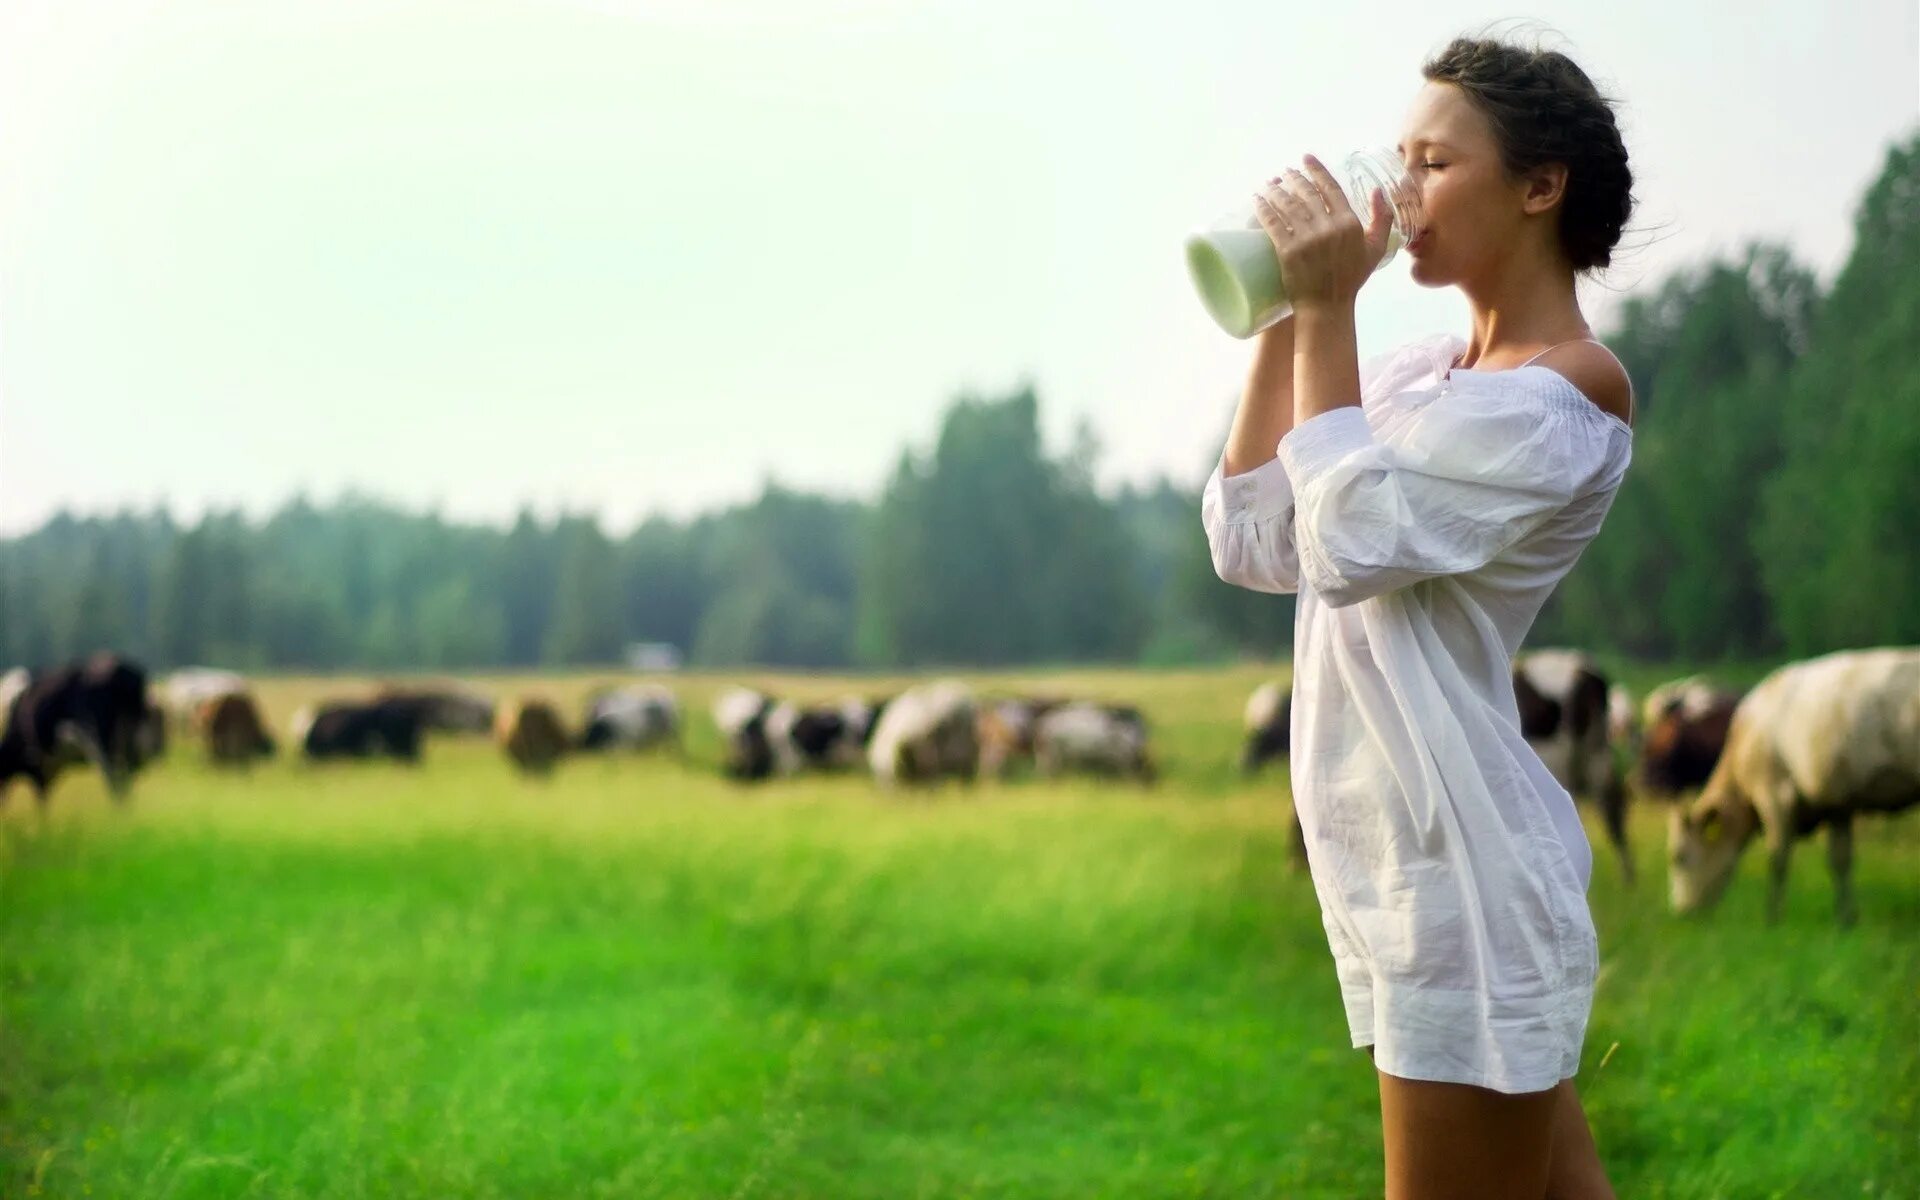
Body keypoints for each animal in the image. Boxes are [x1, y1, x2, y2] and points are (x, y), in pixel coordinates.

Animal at [0, 648, 156, 810]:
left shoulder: (37, 762)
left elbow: (42, 798)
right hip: (128, 734)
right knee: (128, 771)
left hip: (98, 737)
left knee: (111, 773)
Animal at [1666, 645, 1920, 925]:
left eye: (1678, 857)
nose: (1681, 912)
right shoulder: (1837, 804)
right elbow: (1840, 860)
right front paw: (1845, 919)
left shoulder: (1774, 795)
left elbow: (1777, 858)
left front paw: (1772, 918)